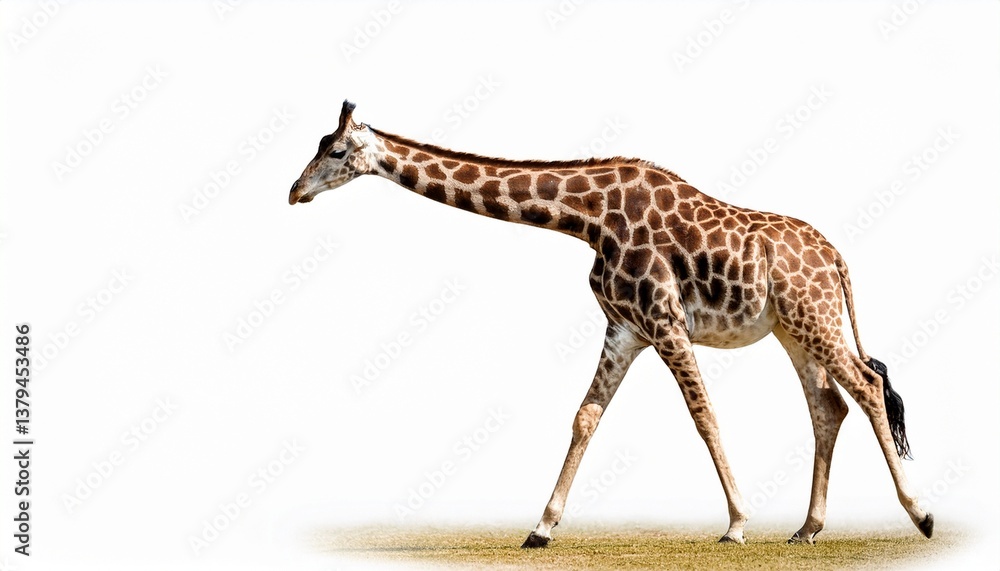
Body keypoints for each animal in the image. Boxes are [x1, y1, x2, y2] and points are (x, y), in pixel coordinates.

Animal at [288, 101, 934, 547]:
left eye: (337, 152)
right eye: (319, 144)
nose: (295, 191)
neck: (588, 218)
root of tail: (836, 257)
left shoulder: (665, 321)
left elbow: (703, 415)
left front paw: (737, 524)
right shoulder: (625, 329)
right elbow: (585, 417)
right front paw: (541, 529)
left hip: (813, 315)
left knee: (867, 386)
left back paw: (920, 514)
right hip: (792, 329)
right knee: (829, 406)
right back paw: (807, 528)